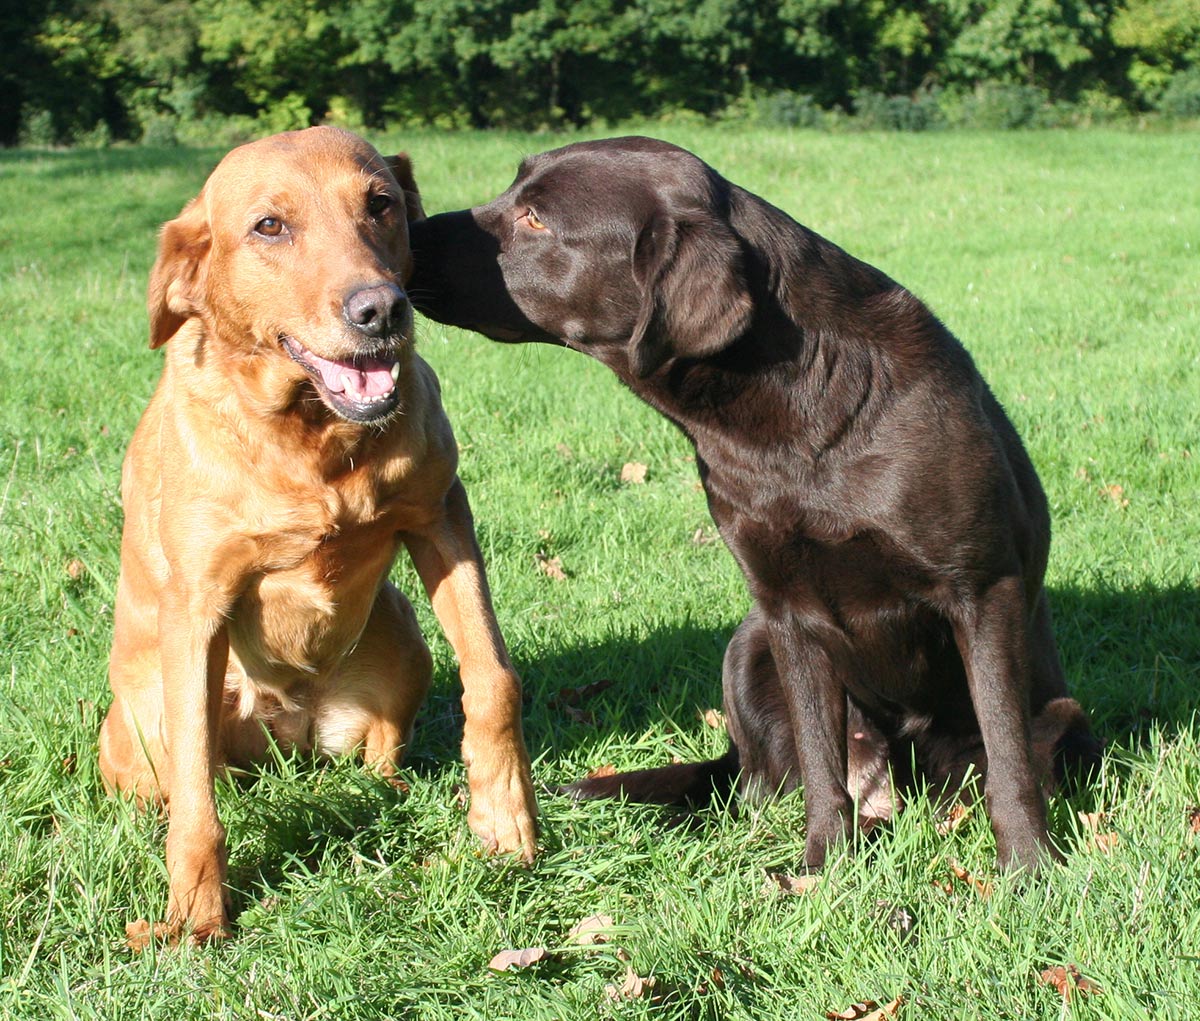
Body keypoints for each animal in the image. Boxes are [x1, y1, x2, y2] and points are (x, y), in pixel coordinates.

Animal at [99, 127, 540, 940]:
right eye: (270, 226)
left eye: (381, 204)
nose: (381, 309)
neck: (312, 439)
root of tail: (287, 728)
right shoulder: (198, 605)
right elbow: (196, 798)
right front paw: (196, 913)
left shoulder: (443, 518)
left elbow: (493, 678)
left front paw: (503, 815)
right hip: (142, 718)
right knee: (175, 781)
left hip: (402, 638)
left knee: (381, 753)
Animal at [408, 133, 1099, 868]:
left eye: (536, 218)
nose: (406, 234)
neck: (797, 415)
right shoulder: (788, 610)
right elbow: (823, 760)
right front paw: (825, 866)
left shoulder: (982, 589)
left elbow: (1006, 754)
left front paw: (1028, 866)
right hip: (747, 645)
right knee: (766, 780)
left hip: (1062, 717)